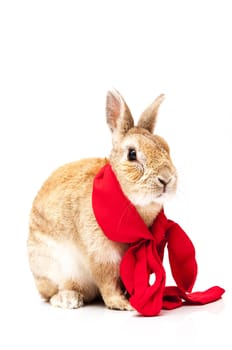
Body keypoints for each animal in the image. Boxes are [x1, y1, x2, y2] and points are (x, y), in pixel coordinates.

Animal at [27, 89, 177, 310]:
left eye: (166, 147)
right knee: (52, 293)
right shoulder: (100, 252)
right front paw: (122, 303)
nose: (166, 179)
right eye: (132, 154)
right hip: (51, 265)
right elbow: (107, 279)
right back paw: (68, 299)